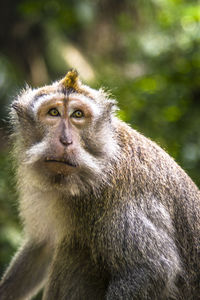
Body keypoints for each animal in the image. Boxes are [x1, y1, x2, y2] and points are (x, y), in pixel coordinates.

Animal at [0, 68, 200, 300]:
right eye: (53, 113)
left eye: (78, 115)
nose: (65, 141)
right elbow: (43, 245)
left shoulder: (119, 194)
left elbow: (151, 270)